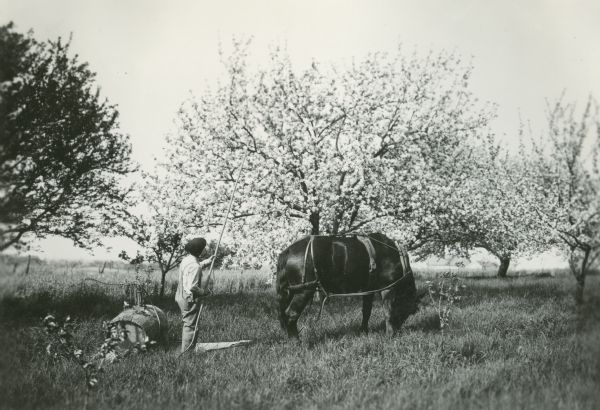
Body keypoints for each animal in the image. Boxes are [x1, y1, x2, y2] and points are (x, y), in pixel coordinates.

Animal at [276, 232, 418, 338]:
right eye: (410, 311)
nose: (398, 330)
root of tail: (289, 250)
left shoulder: (369, 289)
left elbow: (366, 311)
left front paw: (363, 331)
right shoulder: (387, 288)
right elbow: (388, 311)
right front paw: (390, 334)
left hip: (290, 291)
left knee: (284, 313)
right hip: (304, 291)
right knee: (291, 314)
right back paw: (296, 341)